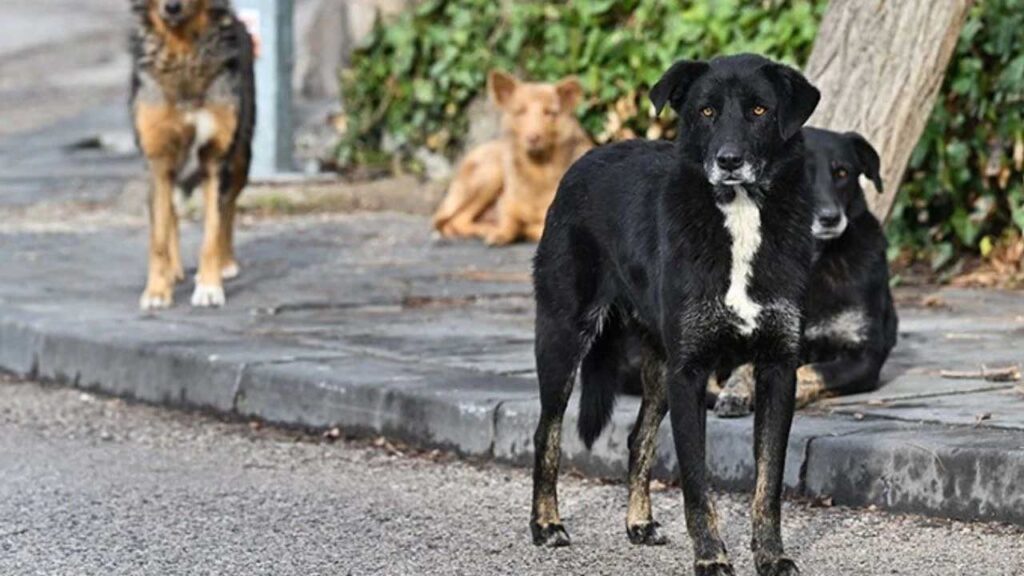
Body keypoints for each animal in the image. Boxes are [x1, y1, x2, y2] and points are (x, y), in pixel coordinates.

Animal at [130, 0, 256, 307]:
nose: (172, 7)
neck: (182, 50)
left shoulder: (214, 155)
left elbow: (212, 230)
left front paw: (209, 287)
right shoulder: (158, 157)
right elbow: (159, 236)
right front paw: (156, 291)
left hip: (240, 157)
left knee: (228, 207)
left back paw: (226, 263)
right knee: (172, 210)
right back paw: (173, 271)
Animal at [432, 70, 593, 243]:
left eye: (549, 113)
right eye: (520, 111)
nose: (533, 138)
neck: (538, 171)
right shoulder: (506, 204)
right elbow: (510, 222)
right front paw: (503, 232)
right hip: (491, 172)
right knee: (456, 220)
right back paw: (485, 230)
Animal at [532, 54, 819, 573]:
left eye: (760, 110)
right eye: (706, 111)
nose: (729, 161)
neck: (740, 214)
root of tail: (585, 160)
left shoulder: (777, 369)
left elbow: (768, 484)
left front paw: (770, 555)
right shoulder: (690, 373)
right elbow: (696, 483)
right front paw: (710, 556)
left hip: (658, 362)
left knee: (636, 439)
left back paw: (638, 523)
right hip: (563, 336)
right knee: (546, 433)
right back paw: (546, 525)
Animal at [712, 125, 897, 414]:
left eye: (842, 173)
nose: (830, 218)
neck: (813, 261)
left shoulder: (864, 356)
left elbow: (811, 371)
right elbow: (744, 367)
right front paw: (735, 391)